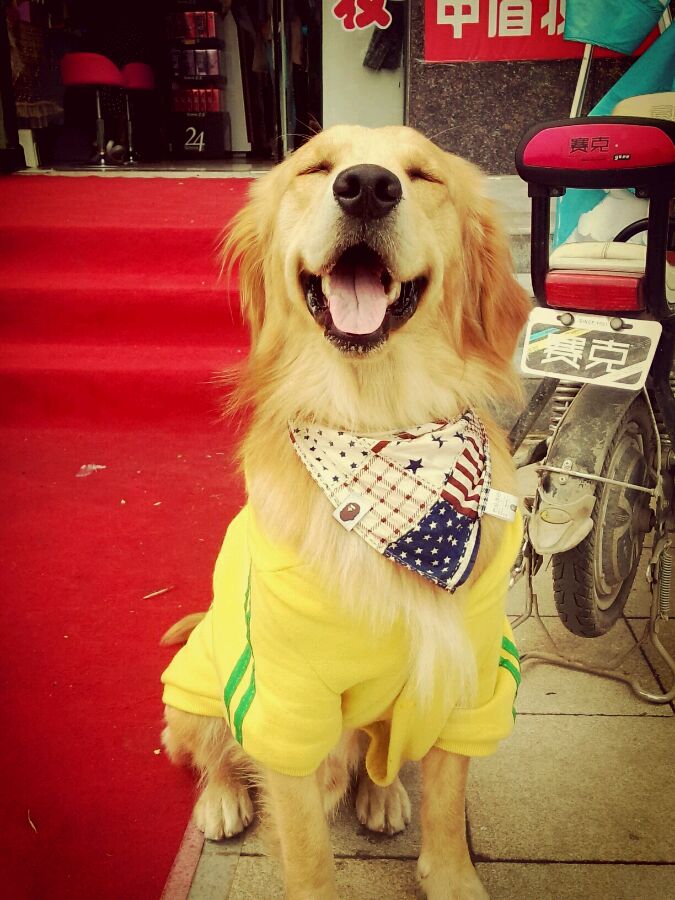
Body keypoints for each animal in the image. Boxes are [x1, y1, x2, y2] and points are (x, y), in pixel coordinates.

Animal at [160, 125, 531, 899]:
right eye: (316, 167)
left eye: (421, 175)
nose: (366, 187)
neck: (377, 424)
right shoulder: (284, 701)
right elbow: (305, 847)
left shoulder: (473, 674)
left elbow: (447, 807)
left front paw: (452, 878)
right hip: (192, 689)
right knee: (210, 754)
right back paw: (222, 799)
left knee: (379, 756)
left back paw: (380, 796)